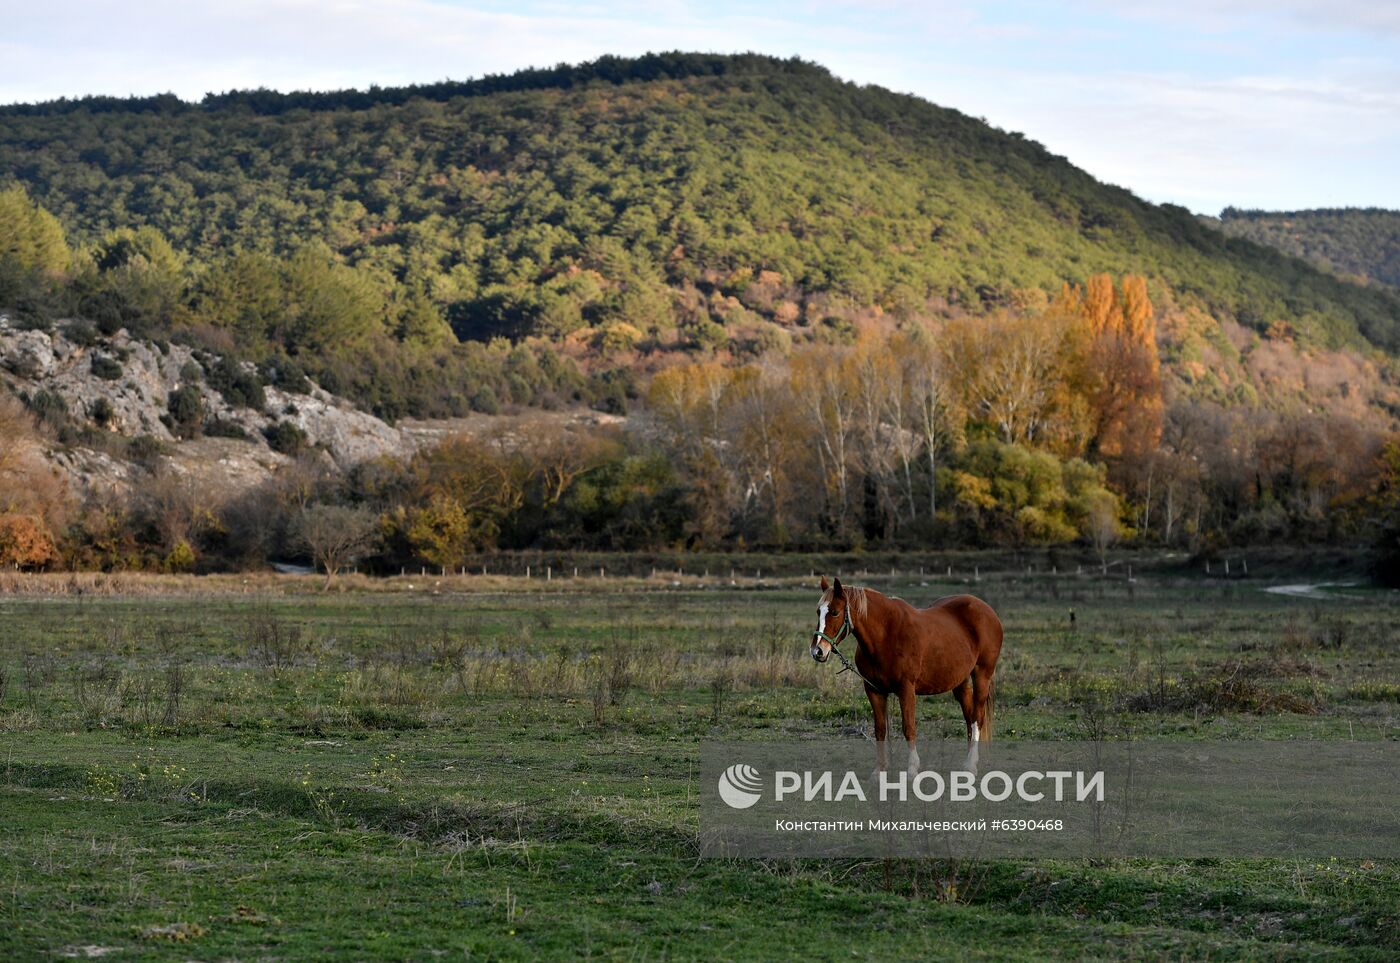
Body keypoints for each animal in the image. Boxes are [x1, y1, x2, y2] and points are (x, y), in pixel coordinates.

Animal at [812, 576, 1008, 772]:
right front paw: (880, 770)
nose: (817, 651)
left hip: (982, 674)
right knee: (968, 717)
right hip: (961, 681)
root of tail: (988, 611)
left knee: (977, 718)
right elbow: (880, 729)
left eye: (835, 612)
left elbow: (909, 727)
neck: (886, 636)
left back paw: (970, 764)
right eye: (818, 611)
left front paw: (912, 768)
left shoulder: (906, 689)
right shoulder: (874, 690)